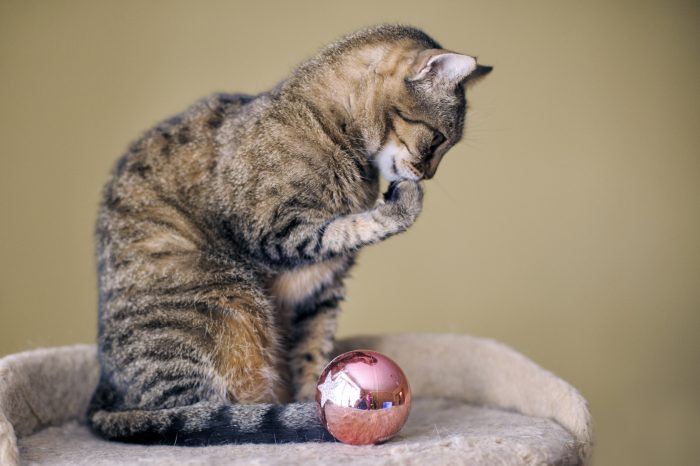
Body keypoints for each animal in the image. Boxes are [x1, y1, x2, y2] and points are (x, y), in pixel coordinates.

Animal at [87, 24, 492, 444]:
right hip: (217, 307)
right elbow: (344, 227)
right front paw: (406, 202)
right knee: (194, 415)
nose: (427, 176)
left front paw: (318, 397)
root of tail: (104, 393)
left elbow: (314, 357)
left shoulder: (323, 291)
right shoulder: (274, 230)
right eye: (439, 139)